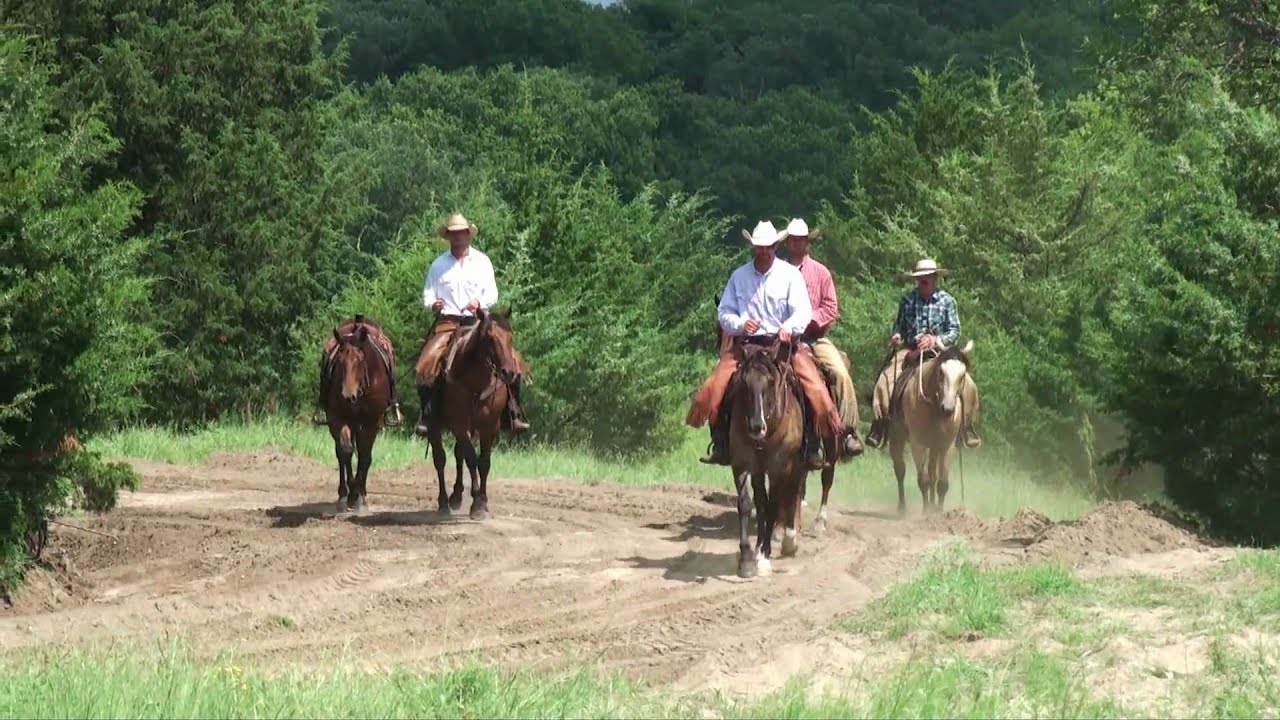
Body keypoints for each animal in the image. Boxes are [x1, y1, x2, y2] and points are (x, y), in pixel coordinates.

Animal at [323, 315, 395, 513]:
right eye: (339, 361)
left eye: (360, 361)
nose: (348, 396)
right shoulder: (337, 419)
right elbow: (345, 451)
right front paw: (348, 494)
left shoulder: (372, 423)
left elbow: (365, 454)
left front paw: (359, 496)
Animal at [425, 307, 523, 520]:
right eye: (489, 336)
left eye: (510, 336)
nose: (508, 373)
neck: (475, 380)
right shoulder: (460, 424)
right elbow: (471, 458)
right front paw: (476, 502)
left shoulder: (490, 426)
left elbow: (484, 462)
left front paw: (482, 503)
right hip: (436, 428)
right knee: (440, 460)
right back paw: (444, 503)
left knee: (457, 453)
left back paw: (456, 496)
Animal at [727, 336, 809, 578]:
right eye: (744, 382)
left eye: (771, 381)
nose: (756, 426)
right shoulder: (743, 463)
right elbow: (747, 503)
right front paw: (746, 558)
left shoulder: (779, 467)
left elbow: (774, 504)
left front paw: (763, 557)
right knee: (764, 501)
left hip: (797, 465)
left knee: (792, 494)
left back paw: (789, 540)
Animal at [888, 340, 975, 514]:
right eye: (941, 372)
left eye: (962, 375)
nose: (948, 409)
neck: (934, 406)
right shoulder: (918, 444)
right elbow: (923, 480)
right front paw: (926, 511)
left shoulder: (947, 445)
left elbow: (942, 482)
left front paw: (938, 512)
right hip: (898, 438)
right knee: (900, 470)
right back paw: (902, 507)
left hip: (935, 447)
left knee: (933, 473)